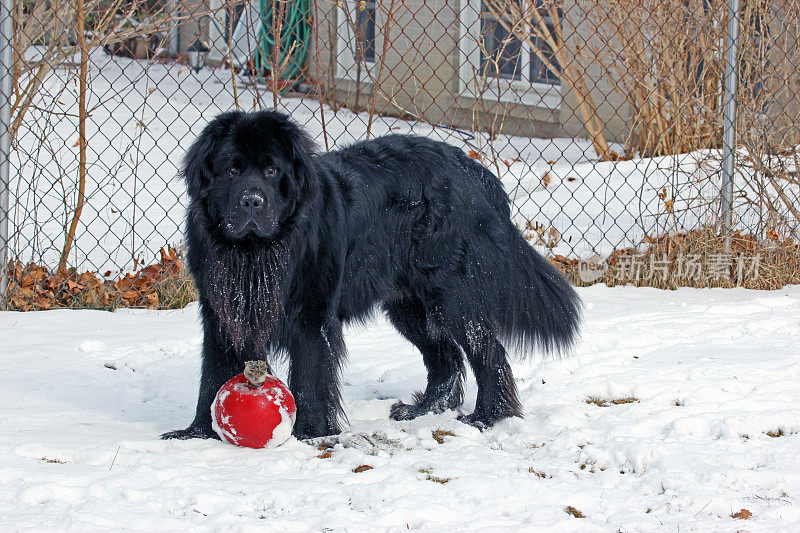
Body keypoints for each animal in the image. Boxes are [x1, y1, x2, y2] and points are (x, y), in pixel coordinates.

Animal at [161, 110, 580, 438]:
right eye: (232, 169)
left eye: (271, 169)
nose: (252, 201)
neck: (255, 252)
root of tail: (477, 172)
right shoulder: (222, 312)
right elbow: (213, 374)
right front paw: (197, 433)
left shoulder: (311, 315)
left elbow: (310, 376)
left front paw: (310, 434)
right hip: (410, 305)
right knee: (444, 357)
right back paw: (423, 410)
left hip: (453, 295)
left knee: (488, 351)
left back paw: (487, 417)